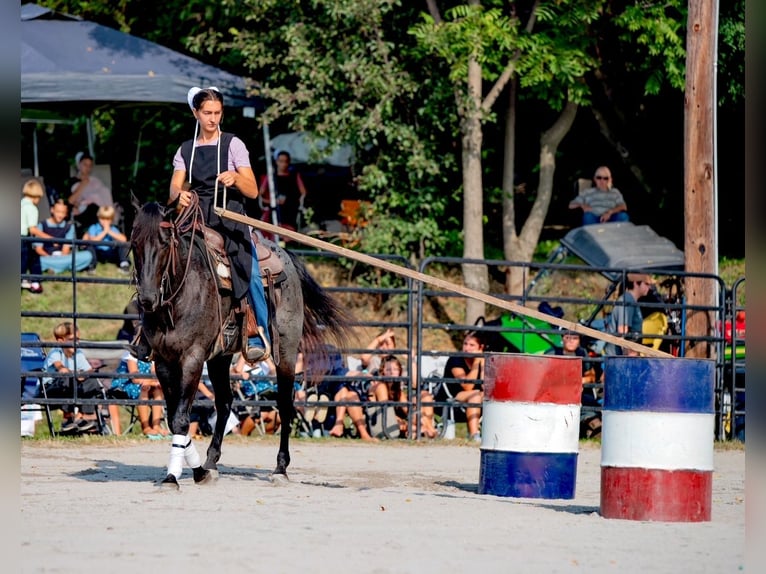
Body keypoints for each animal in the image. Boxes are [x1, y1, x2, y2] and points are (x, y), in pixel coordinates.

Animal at [130, 197, 352, 490]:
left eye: (165, 242)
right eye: (134, 242)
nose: (147, 299)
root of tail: (285, 256)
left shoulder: (192, 358)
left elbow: (180, 418)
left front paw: (174, 476)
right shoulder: (164, 362)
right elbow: (174, 418)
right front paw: (197, 470)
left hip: (286, 351)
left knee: (285, 404)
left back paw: (280, 468)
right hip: (220, 356)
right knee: (225, 402)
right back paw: (211, 462)